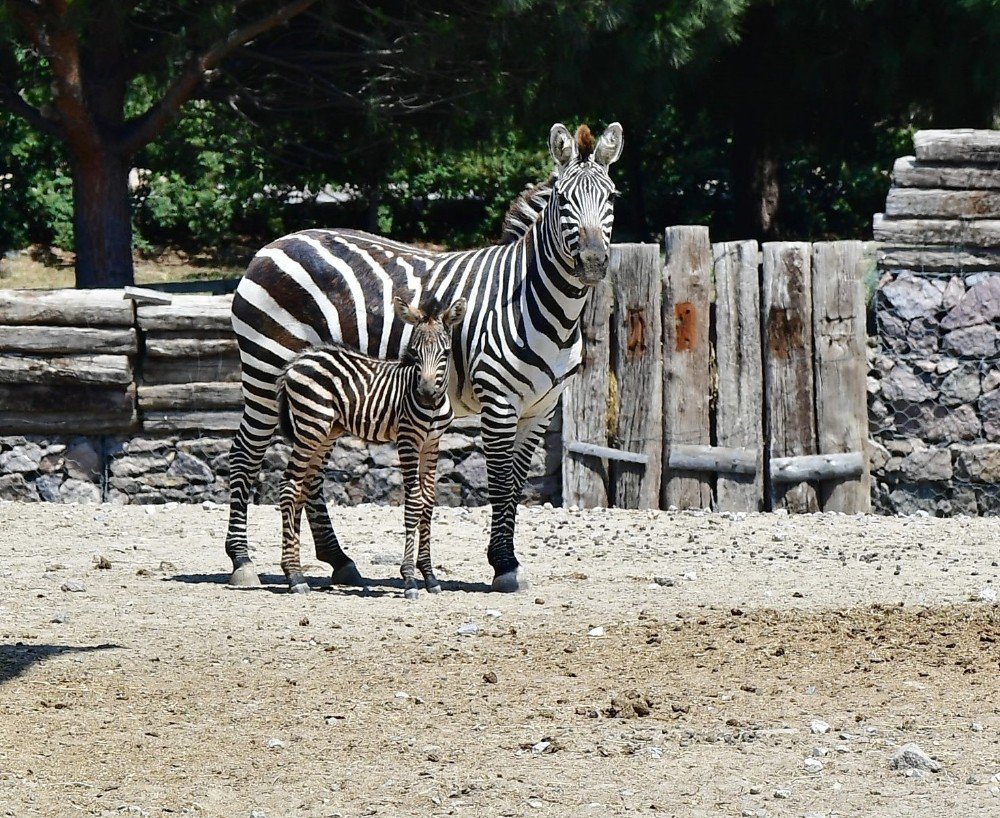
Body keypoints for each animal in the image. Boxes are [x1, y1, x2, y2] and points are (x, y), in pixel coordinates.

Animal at [272, 294, 462, 592]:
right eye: (415, 353)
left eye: (444, 353)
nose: (426, 393)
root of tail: (298, 360)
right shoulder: (408, 440)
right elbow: (414, 502)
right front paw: (409, 578)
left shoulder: (432, 443)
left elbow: (429, 502)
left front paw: (430, 576)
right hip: (310, 425)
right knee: (289, 486)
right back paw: (294, 576)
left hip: (326, 431)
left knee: (302, 488)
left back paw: (297, 570)